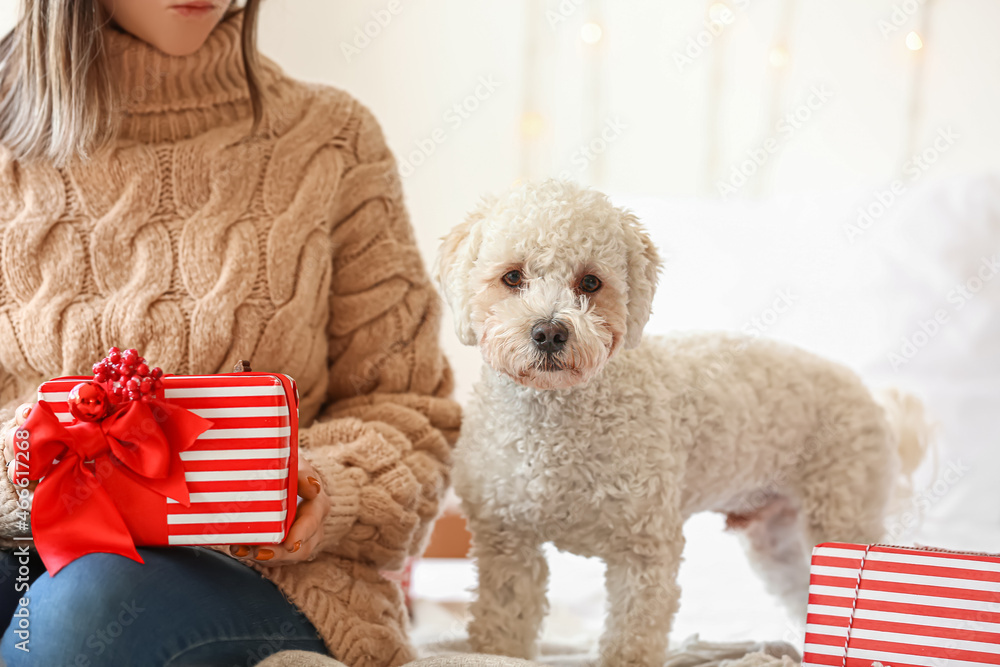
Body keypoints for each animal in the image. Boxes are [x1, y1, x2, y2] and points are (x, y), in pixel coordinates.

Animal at [438, 181, 928, 667]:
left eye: (590, 282)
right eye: (512, 277)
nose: (549, 333)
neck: (554, 422)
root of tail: (872, 399)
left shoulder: (644, 551)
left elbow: (632, 640)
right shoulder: (507, 543)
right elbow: (502, 625)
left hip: (842, 517)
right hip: (781, 542)